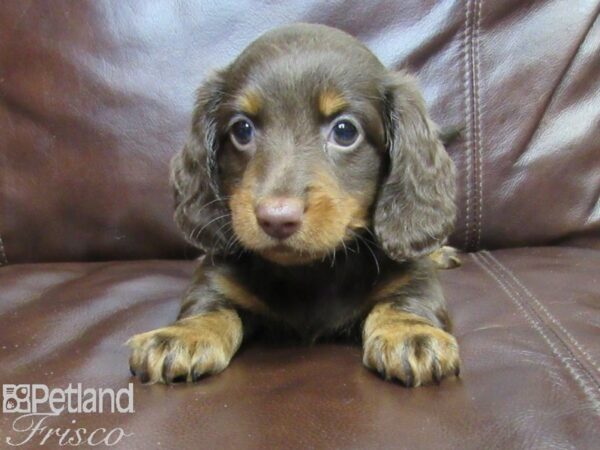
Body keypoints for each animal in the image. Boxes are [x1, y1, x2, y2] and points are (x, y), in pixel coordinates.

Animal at [129, 22, 460, 386]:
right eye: (242, 129)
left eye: (345, 131)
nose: (275, 219)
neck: (312, 272)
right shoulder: (214, 275)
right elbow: (210, 305)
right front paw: (183, 334)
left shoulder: (415, 277)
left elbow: (406, 301)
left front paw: (410, 333)